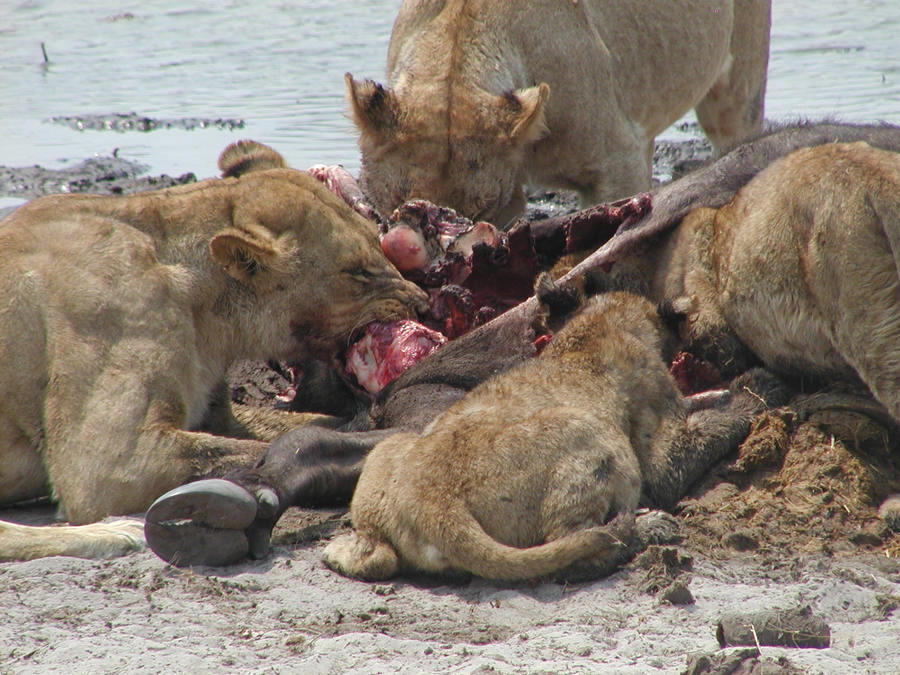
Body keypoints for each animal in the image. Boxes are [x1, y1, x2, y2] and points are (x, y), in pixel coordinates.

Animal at [0, 140, 428, 564]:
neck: (208, 310)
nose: (423, 304)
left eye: (378, 240)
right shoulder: (109, 462)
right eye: (358, 272)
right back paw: (116, 533)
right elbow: (243, 450)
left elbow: (303, 425)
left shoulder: (220, 412)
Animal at [324, 290, 788, 580]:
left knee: (375, 559)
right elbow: (704, 434)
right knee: (577, 548)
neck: (598, 325)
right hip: (593, 434)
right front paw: (759, 388)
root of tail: (432, 504)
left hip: (390, 451)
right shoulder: (661, 443)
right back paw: (648, 527)